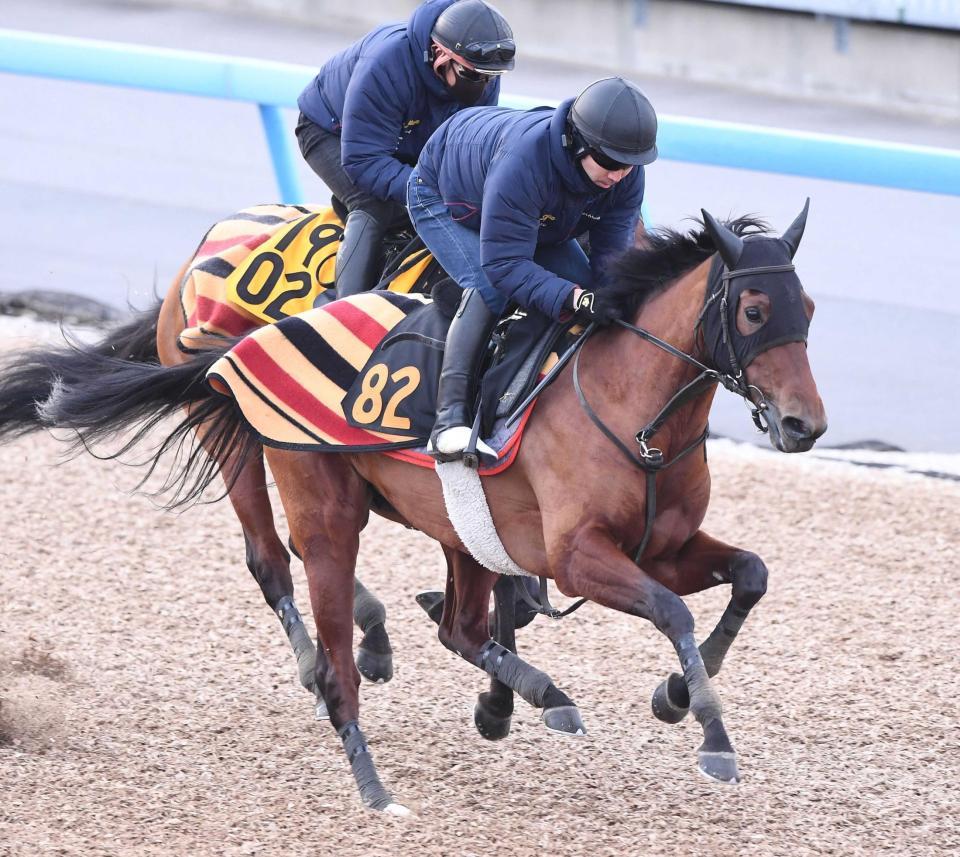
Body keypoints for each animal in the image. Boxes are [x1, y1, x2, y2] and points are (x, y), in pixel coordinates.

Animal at [41, 204, 828, 812]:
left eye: (811, 310)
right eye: (755, 310)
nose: (805, 425)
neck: (631, 409)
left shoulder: (660, 546)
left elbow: (750, 575)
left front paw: (672, 694)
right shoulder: (578, 556)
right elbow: (672, 612)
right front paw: (710, 732)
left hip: (452, 521)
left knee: (456, 622)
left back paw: (521, 687)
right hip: (271, 462)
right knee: (278, 562)